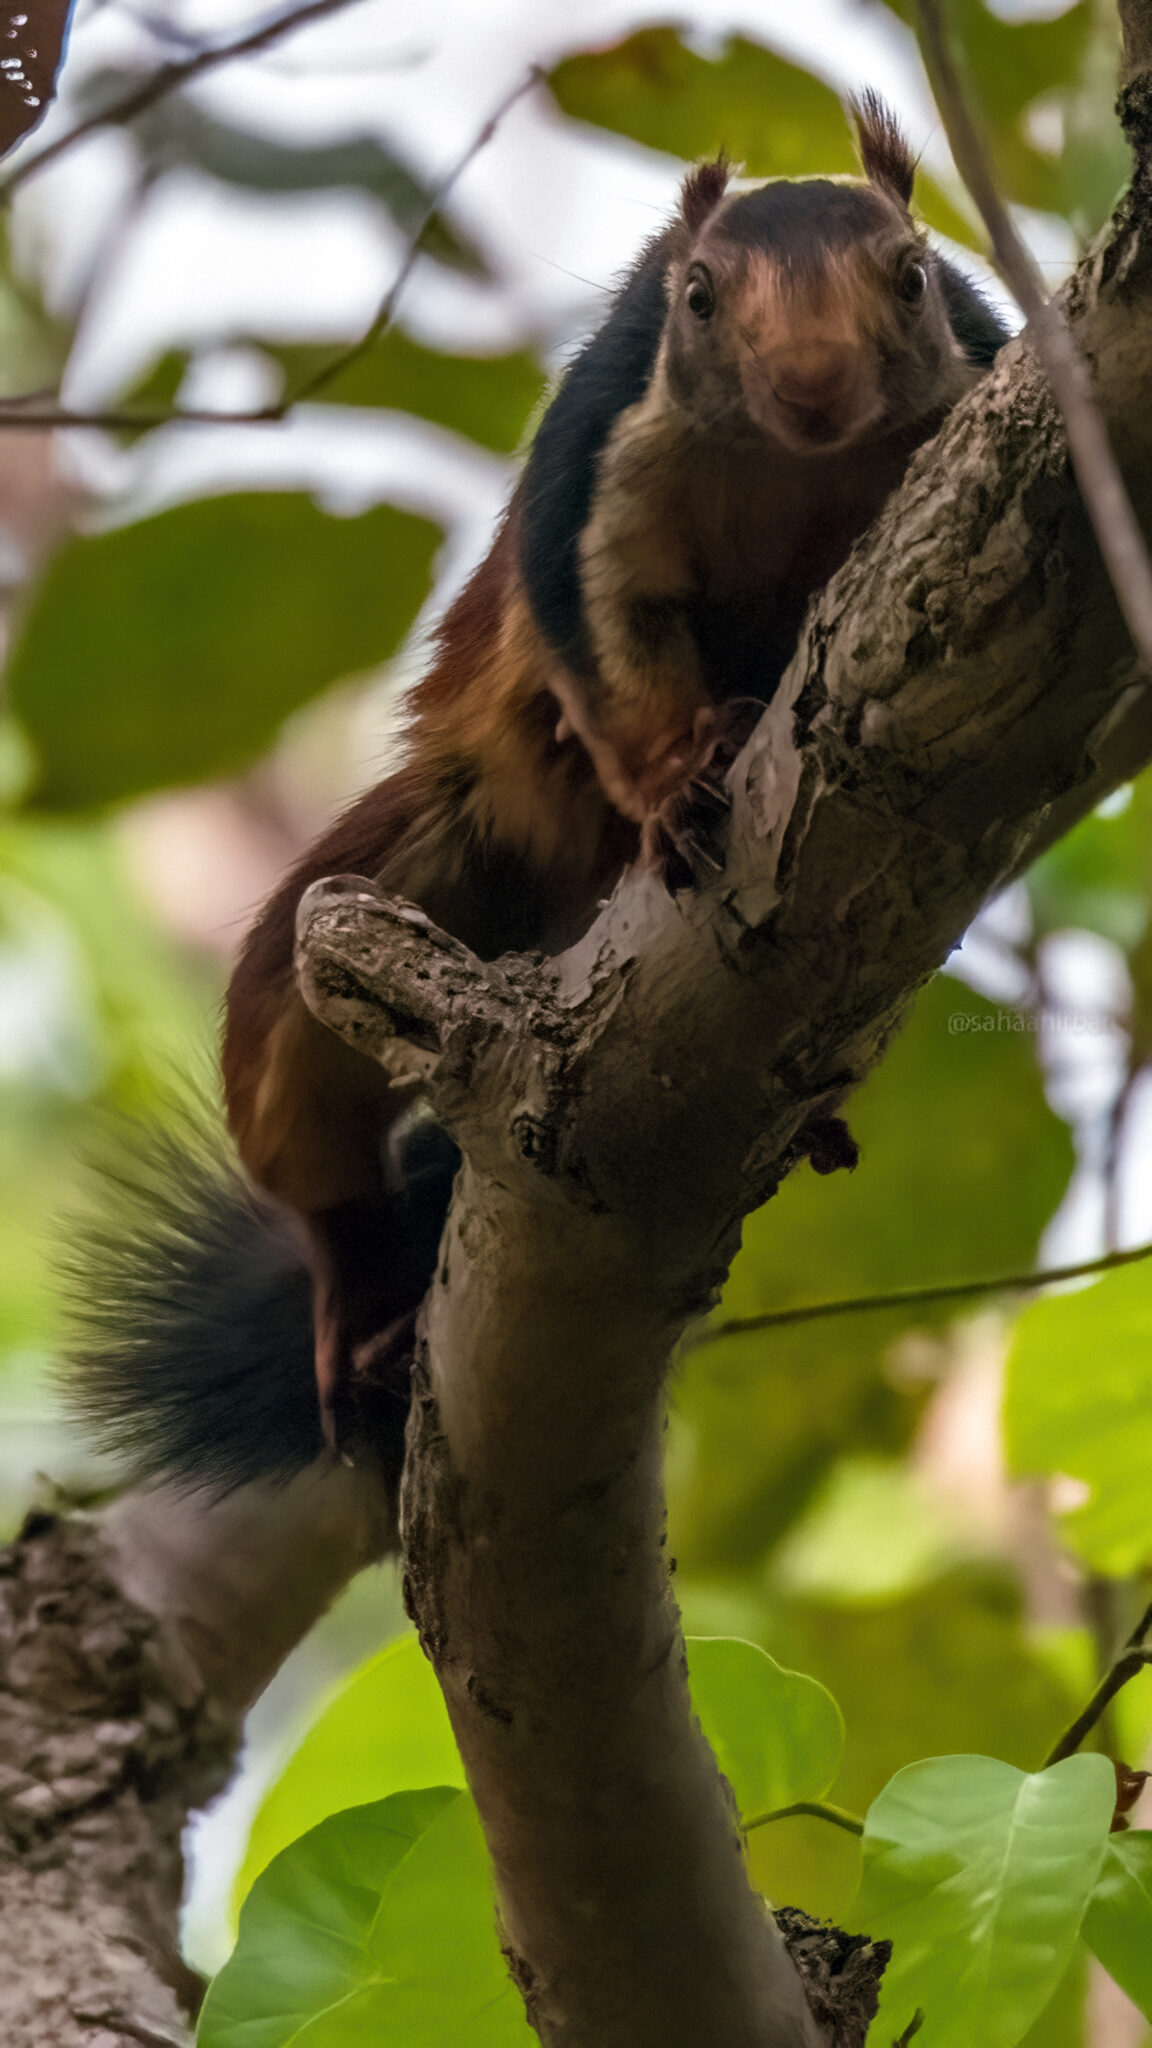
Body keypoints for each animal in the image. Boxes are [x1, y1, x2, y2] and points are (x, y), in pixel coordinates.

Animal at [67, 93, 1007, 1498]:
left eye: (910, 275)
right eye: (696, 295)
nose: (812, 386)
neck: (794, 466)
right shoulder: (601, 465)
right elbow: (608, 633)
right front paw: (674, 781)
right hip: (415, 876)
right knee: (312, 1122)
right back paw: (351, 1301)